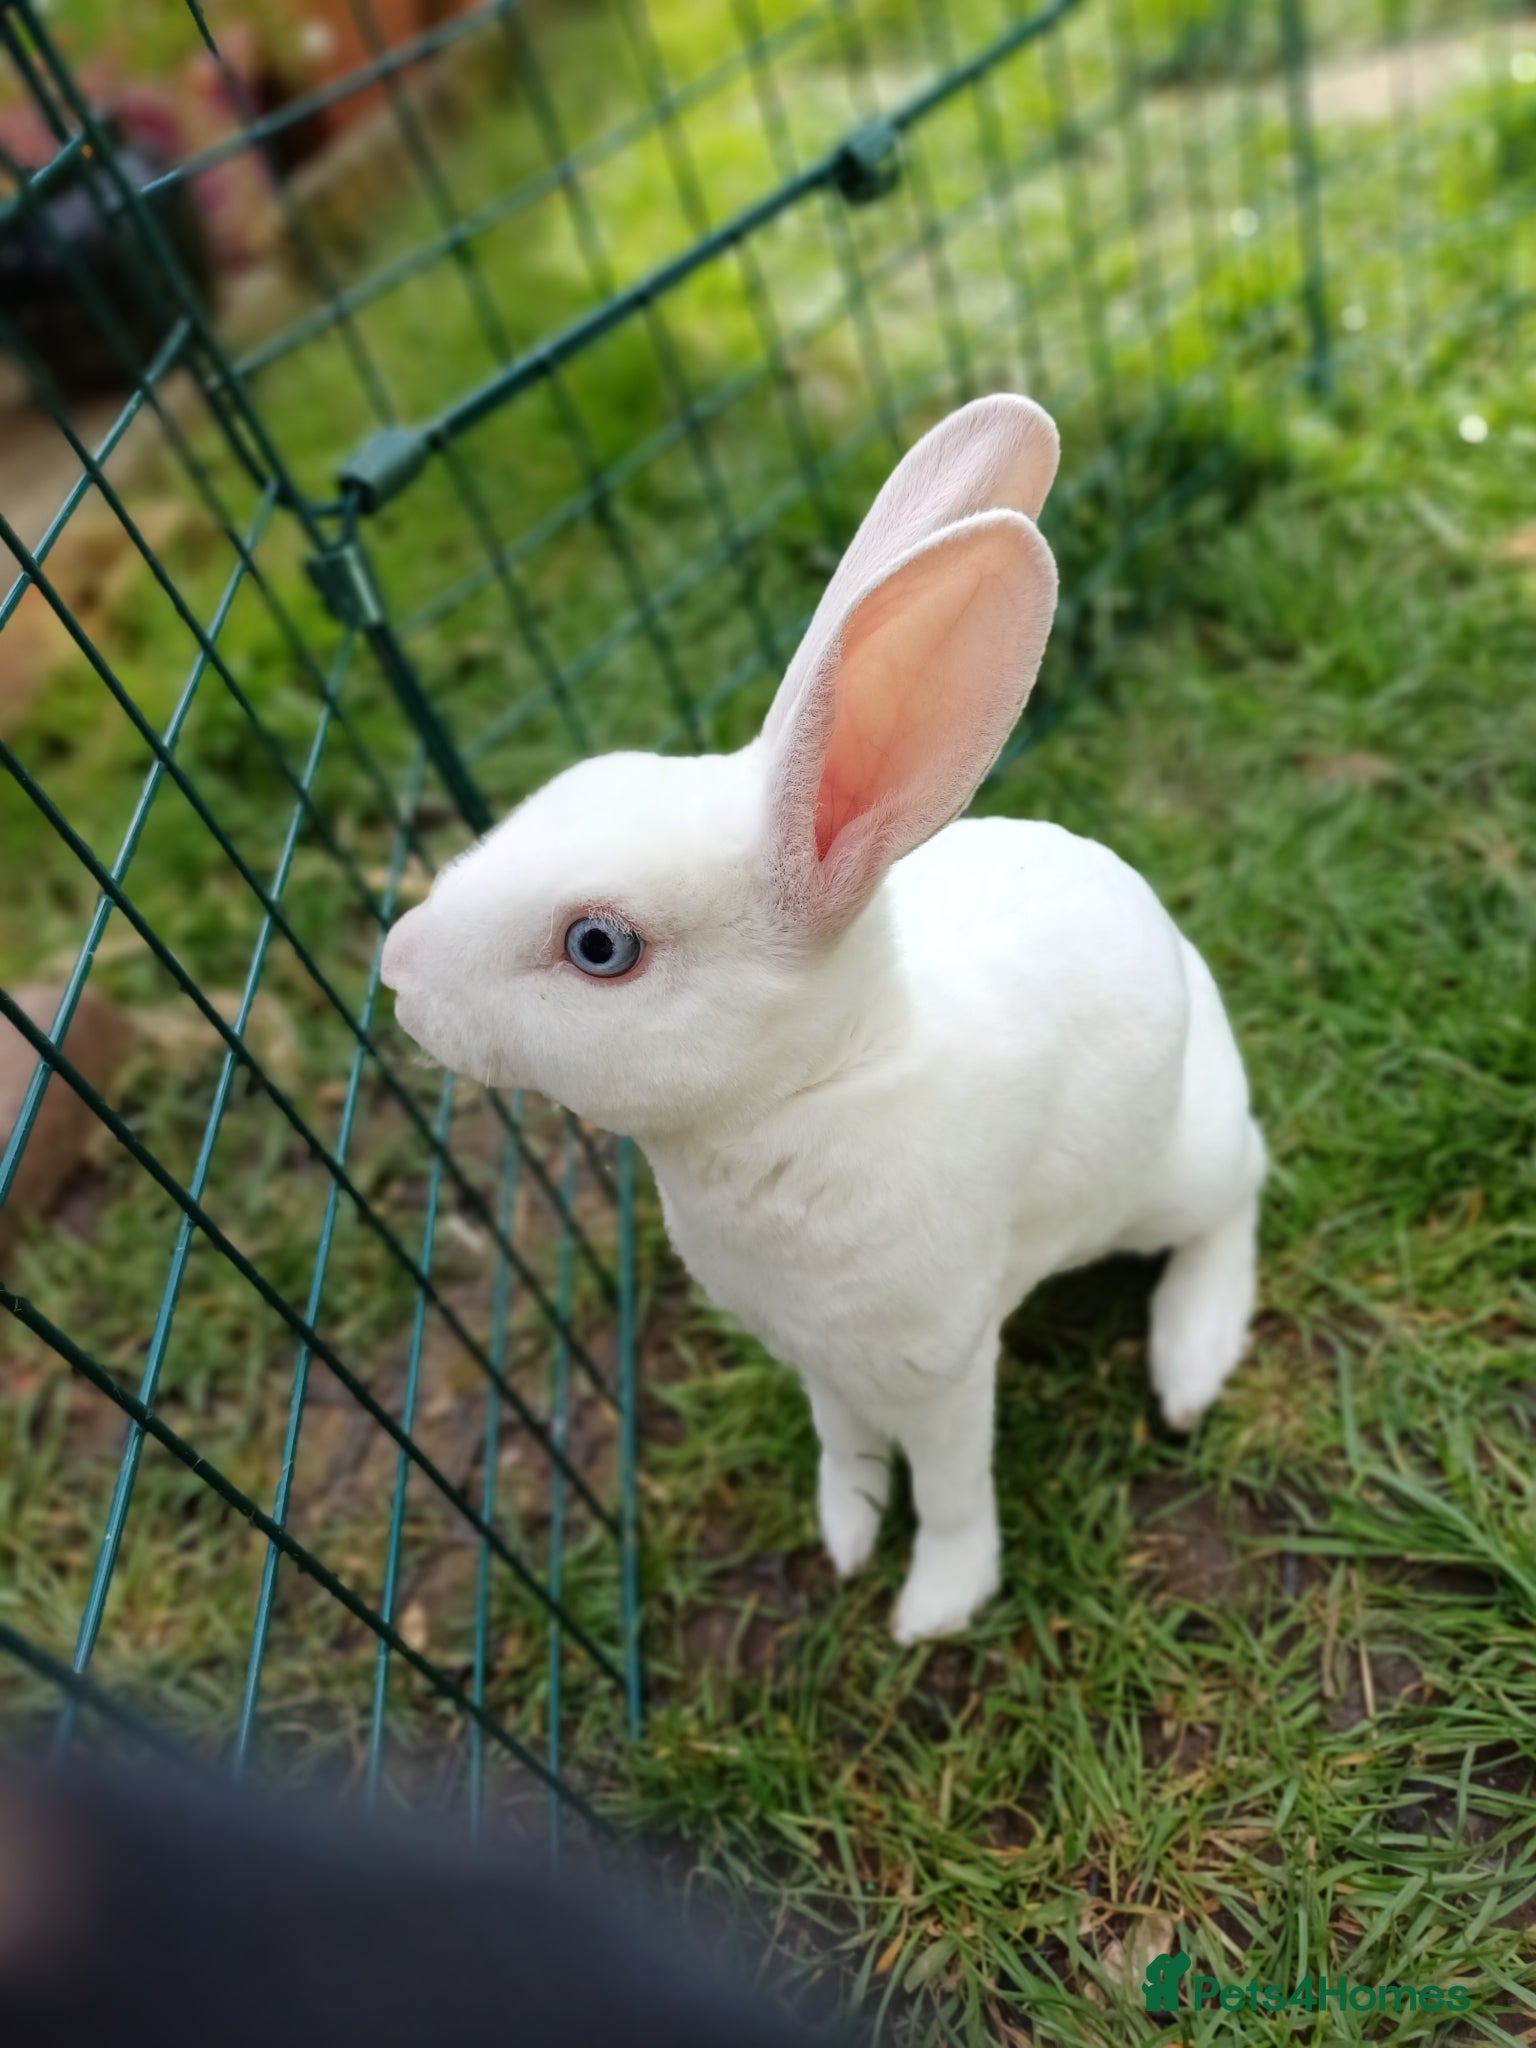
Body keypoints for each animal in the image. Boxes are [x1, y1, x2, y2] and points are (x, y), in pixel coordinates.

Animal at [381, 393, 1266, 1644]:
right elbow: (843, 1446)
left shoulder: (941, 1363)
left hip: (1174, 1171)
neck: (818, 1089)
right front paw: (847, 1532)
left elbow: (950, 1490)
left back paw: (1191, 1357)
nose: (395, 962)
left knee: (1240, 1192)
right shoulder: (817, 1357)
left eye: (599, 946)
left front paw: (934, 1605)